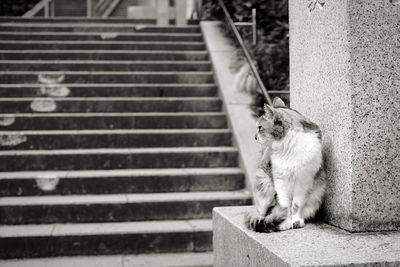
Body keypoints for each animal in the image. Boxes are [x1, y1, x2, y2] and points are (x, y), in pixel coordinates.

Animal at [245, 98, 326, 232]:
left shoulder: (303, 181)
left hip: (317, 192)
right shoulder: (280, 180)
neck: (288, 144)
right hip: (263, 181)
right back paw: (264, 219)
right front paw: (286, 221)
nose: (254, 137)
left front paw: (295, 221)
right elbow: (285, 204)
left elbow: (296, 205)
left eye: (260, 127)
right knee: (262, 210)